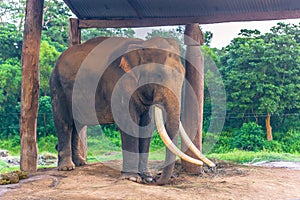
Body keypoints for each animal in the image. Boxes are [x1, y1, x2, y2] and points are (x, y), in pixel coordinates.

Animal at [49, 36, 213, 185]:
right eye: (158, 76)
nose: (156, 179)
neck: (141, 45)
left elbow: (146, 126)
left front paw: (146, 176)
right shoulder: (119, 82)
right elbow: (129, 123)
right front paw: (132, 178)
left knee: (77, 125)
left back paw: (80, 163)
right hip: (57, 86)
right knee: (64, 123)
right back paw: (67, 168)